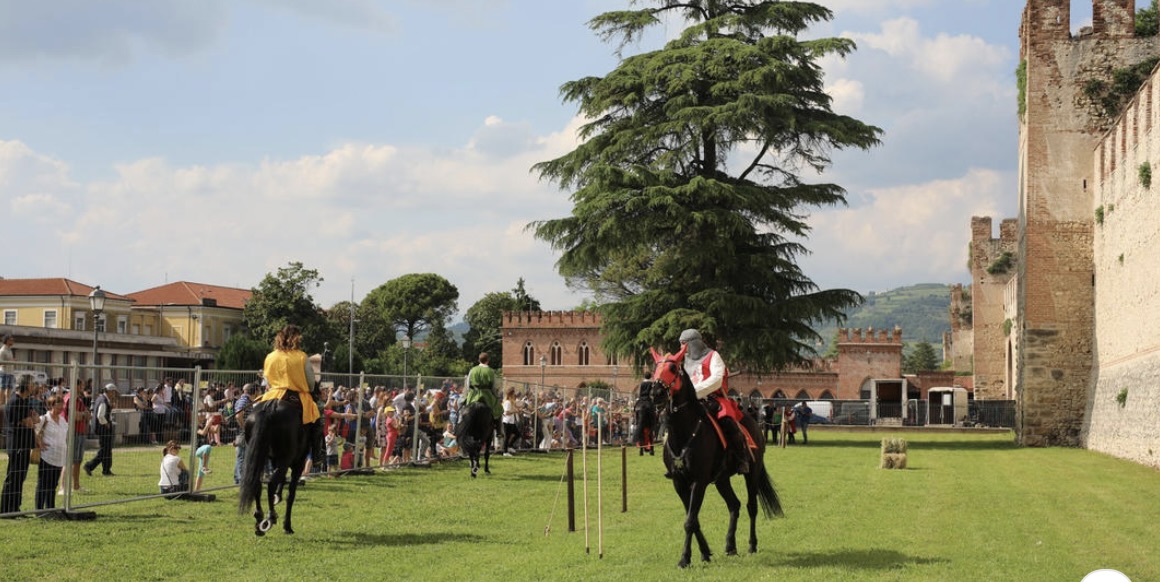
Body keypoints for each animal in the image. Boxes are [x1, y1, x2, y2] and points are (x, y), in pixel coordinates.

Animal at [237, 396, 310, 535]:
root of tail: (270, 407)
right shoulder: (298, 463)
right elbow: (290, 494)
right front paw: (287, 526)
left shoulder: (274, 460)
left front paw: (278, 496)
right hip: (286, 458)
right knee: (271, 484)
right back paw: (270, 517)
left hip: (260, 455)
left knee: (257, 484)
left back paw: (259, 520)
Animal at [649, 345, 784, 568]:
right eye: (655, 367)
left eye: (673, 367)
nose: (656, 393)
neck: (685, 432)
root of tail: (754, 422)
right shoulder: (679, 483)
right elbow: (693, 519)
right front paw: (704, 553)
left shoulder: (699, 482)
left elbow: (690, 521)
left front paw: (684, 559)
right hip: (721, 479)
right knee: (734, 505)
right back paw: (730, 546)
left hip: (752, 473)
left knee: (751, 506)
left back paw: (751, 545)